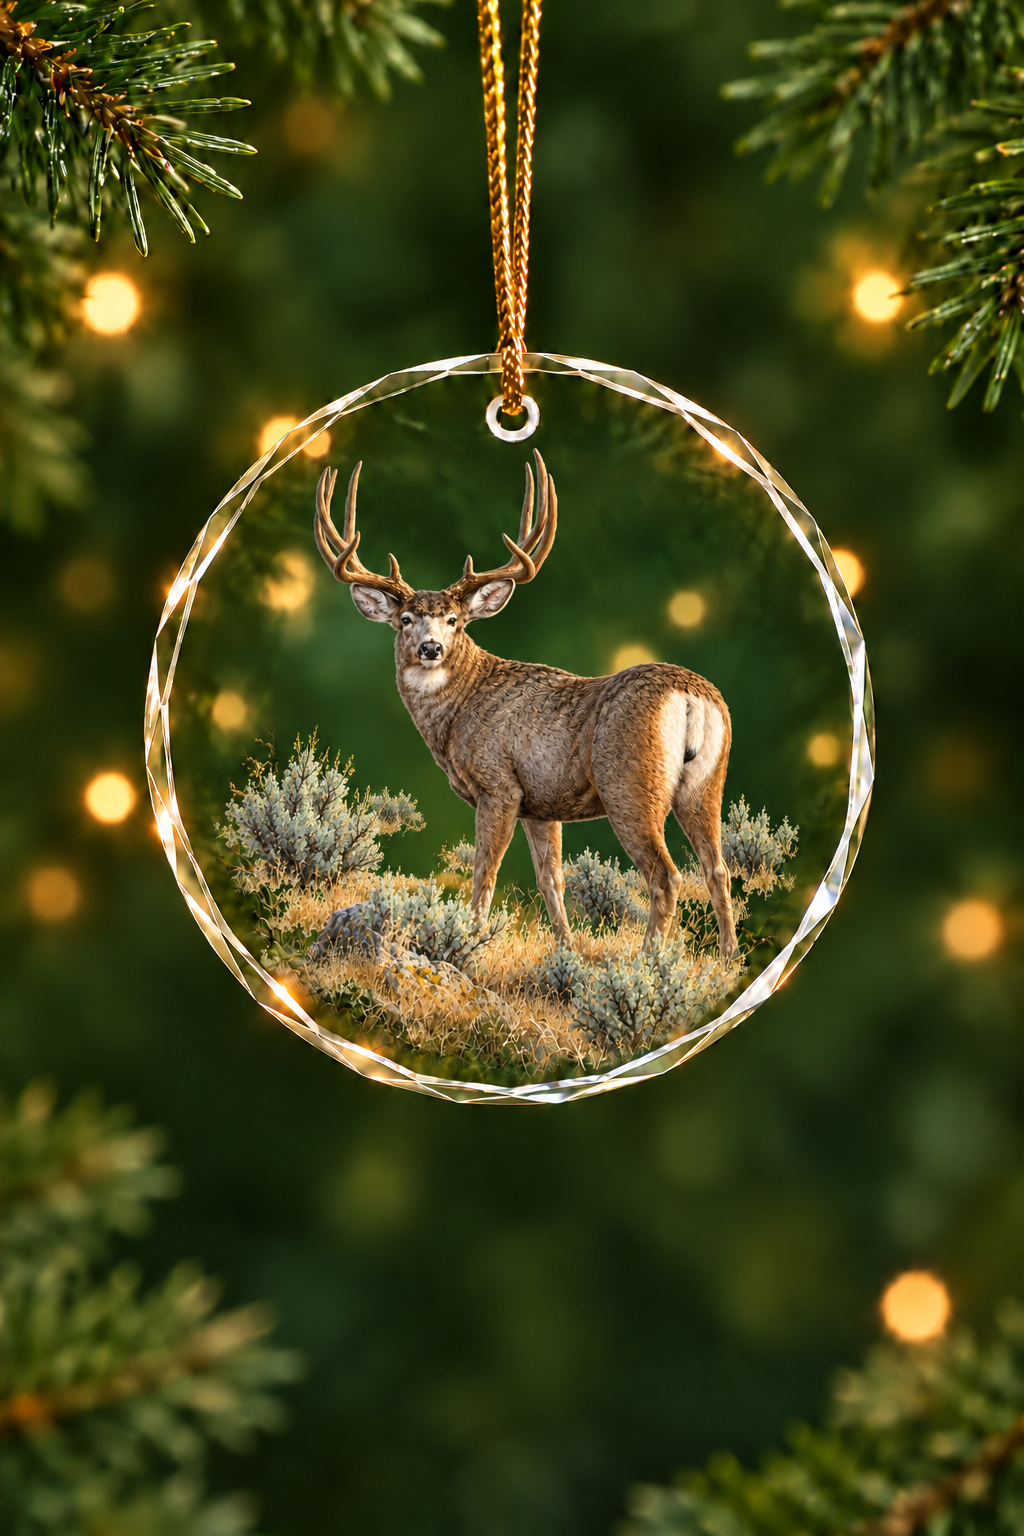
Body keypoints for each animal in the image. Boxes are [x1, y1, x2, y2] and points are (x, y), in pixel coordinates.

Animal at [313, 451, 737, 959]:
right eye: (406, 620)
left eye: (454, 620)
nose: (431, 648)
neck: (457, 713)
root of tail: (692, 696)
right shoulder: (542, 805)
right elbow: (551, 880)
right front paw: (566, 950)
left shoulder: (499, 785)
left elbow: (485, 872)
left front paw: (467, 940)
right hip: (706, 782)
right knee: (717, 868)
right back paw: (729, 960)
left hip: (631, 783)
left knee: (666, 874)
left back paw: (648, 960)